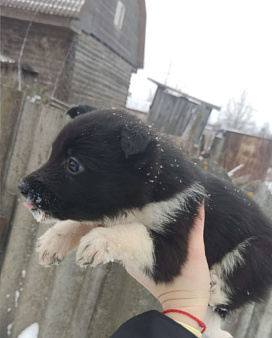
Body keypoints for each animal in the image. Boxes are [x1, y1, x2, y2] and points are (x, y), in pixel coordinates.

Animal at [18, 105, 272, 336]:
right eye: (52, 153)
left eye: (73, 165)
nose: (22, 187)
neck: (151, 191)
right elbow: (84, 221)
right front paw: (54, 240)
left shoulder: (175, 248)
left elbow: (136, 231)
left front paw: (100, 240)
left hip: (257, 252)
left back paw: (216, 285)